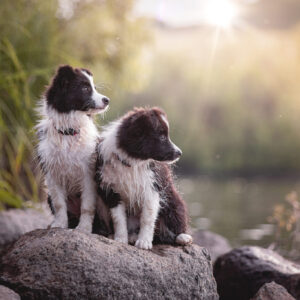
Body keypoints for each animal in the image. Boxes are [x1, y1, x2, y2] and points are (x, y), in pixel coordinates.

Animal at [35, 64, 109, 233]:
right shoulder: (52, 174)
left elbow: (87, 206)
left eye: (94, 88)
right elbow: (59, 204)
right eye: (85, 88)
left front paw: (84, 229)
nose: (107, 100)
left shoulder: (88, 174)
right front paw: (59, 224)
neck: (69, 132)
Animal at [95, 106, 192, 250]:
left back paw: (183, 237)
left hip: (173, 200)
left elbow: (147, 217)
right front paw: (120, 238)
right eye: (162, 137)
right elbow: (118, 217)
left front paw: (144, 242)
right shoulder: (111, 190)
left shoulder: (153, 187)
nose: (179, 153)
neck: (133, 161)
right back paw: (129, 236)